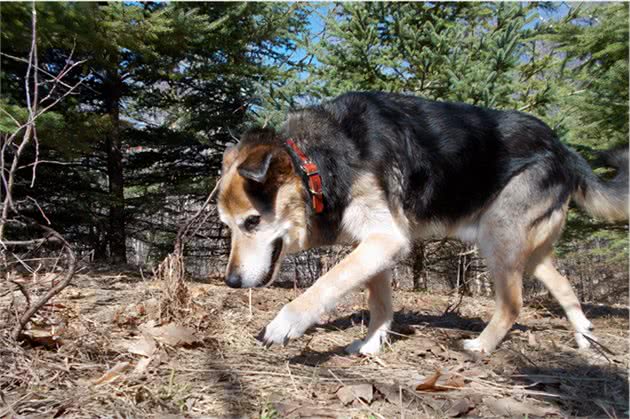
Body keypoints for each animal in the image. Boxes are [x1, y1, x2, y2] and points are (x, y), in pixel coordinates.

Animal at [216, 91, 628, 354]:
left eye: (251, 222)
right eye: (227, 225)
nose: (231, 282)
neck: (315, 164)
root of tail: (563, 148)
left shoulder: (387, 240)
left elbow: (327, 284)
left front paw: (285, 324)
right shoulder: (374, 244)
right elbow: (380, 304)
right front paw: (371, 345)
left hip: (498, 235)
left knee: (513, 305)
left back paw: (480, 346)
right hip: (527, 251)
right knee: (565, 286)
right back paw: (585, 338)